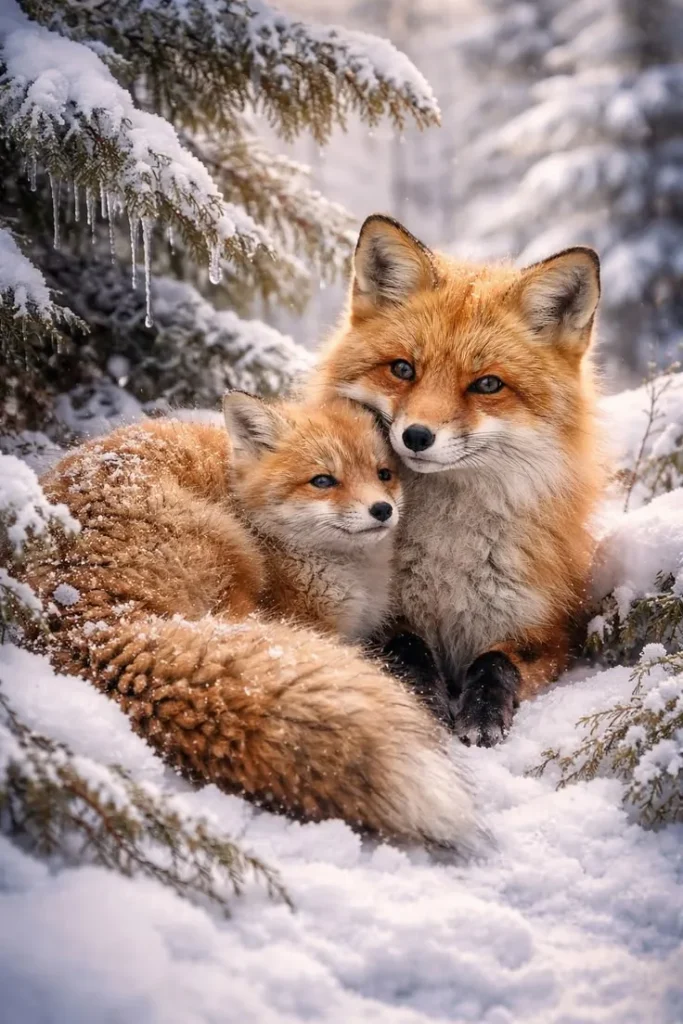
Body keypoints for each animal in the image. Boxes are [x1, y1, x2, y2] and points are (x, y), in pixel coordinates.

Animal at [23, 394, 478, 850]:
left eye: (384, 474)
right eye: (323, 481)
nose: (382, 510)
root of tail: (88, 625)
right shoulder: (306, 615)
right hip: (233, 556)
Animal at [310, 214, 606, 746]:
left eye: (487, 384)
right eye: (402, 369)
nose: (416, 436)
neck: (448, 552)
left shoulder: (548, 632)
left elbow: (494, 663)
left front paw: (482, 714)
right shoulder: (381, 618)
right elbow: (408, 650)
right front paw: (424, 704)